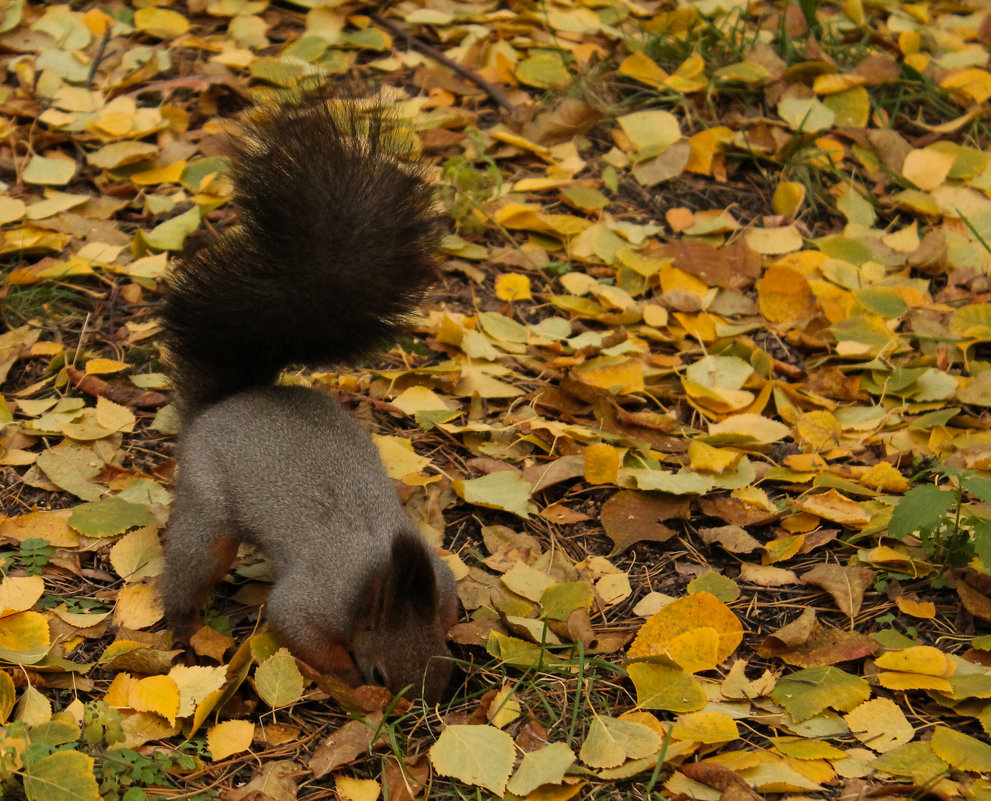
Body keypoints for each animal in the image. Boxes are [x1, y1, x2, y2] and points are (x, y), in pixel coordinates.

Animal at [160, 97, 462, 704]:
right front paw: (350, 682)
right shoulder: (315, 600)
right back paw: (181, 621)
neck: (377, 580)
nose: (419, 710)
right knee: (191, 560)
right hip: (208, 502)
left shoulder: (440, 579)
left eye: (445, 659)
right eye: (380, 672)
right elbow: (295, 626)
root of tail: (227, 402)